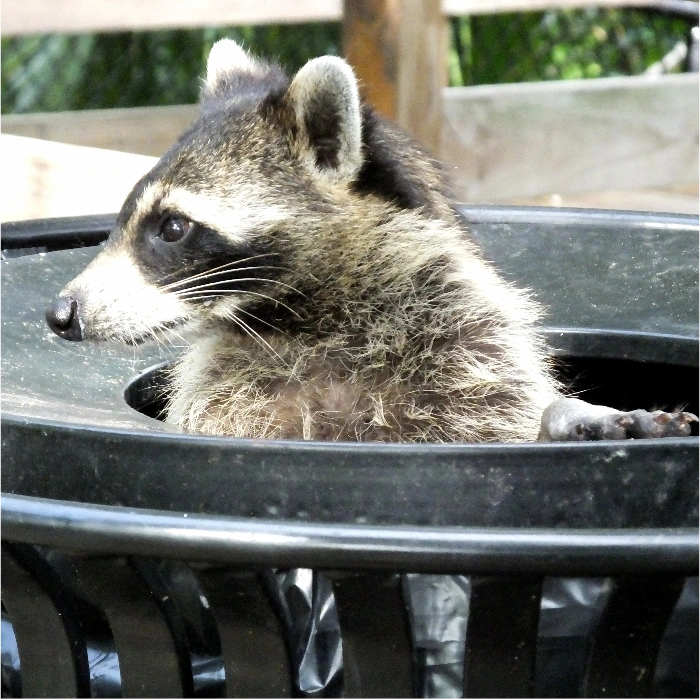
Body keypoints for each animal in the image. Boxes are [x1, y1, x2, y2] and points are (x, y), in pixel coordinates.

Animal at [46, 40, 695, 443]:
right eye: (125, 213)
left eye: (172, 227)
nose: (61, 312)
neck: (312, 315)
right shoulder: (230, 398)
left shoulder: (467, 349)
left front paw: (566, 416)